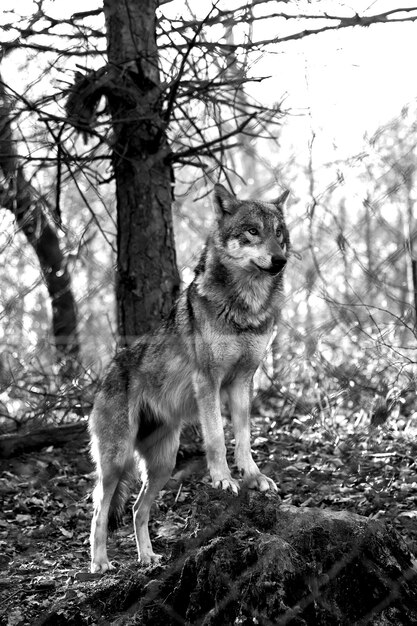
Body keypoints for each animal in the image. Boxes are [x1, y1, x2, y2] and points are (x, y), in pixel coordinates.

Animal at [88, 180, 290, 572]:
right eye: (252, 232)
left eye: (278, 233)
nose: (280, 261)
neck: (245, 309)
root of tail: (107, 372)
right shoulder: (207, 381)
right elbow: (216, 439)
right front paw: (223, 480)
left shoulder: (242, 382)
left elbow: (244, 438)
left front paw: (254, 477)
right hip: (117, 460)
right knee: (99, 512)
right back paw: (100, 563)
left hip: (164, 464)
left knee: (137, 510)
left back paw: (148, 557)